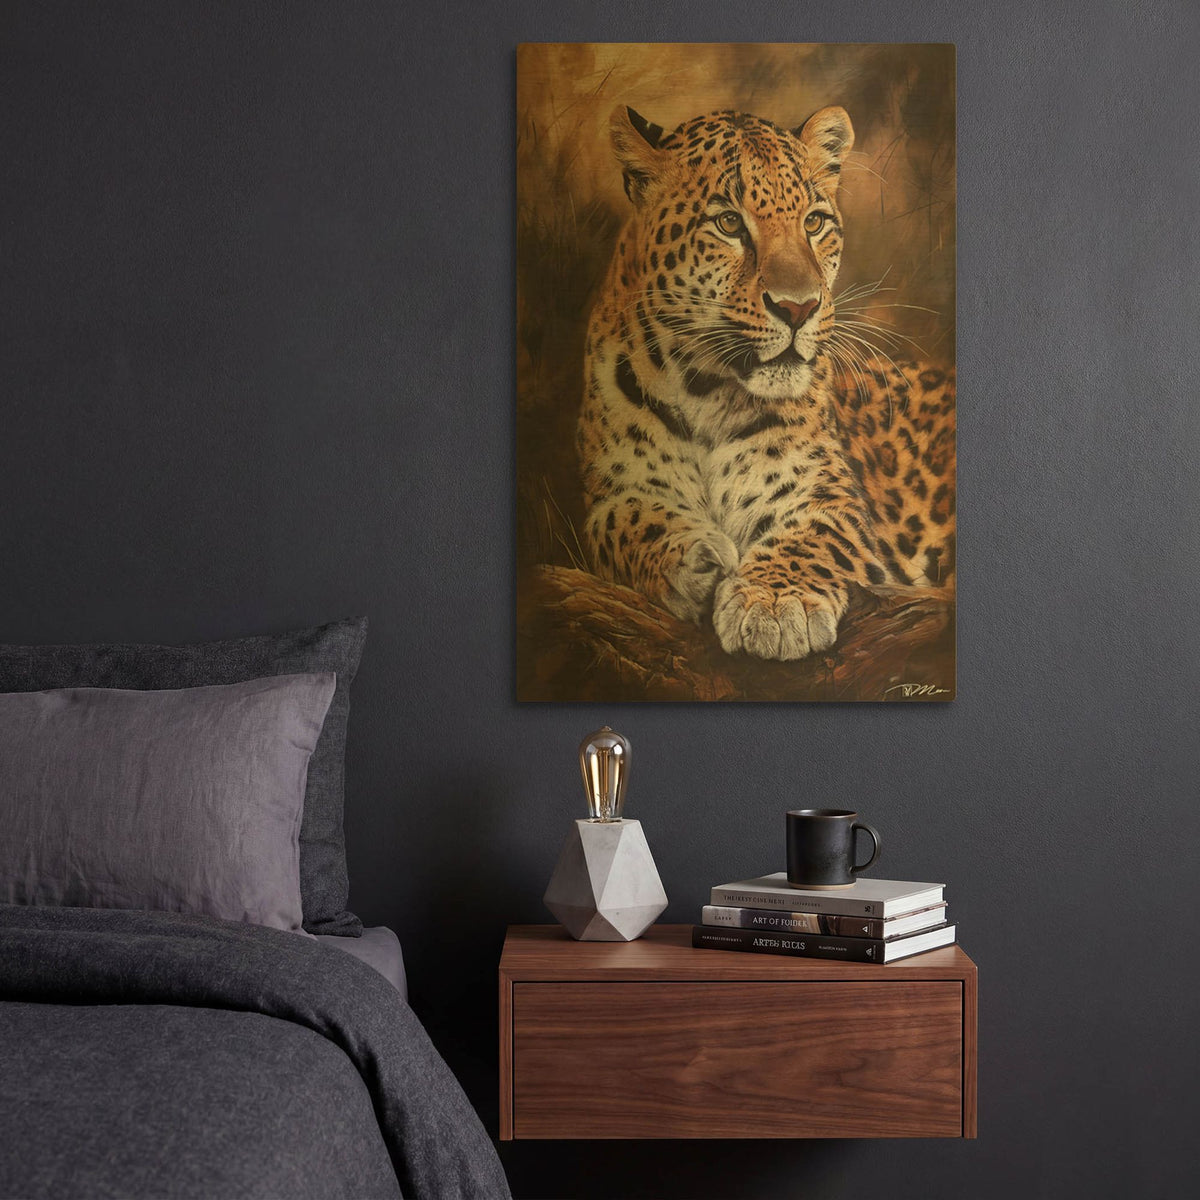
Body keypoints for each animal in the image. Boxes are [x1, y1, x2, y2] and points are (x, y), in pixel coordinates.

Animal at [576, 104, 955, 662]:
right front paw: (696, 560)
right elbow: (623, 521)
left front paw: (775, 604)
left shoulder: (833, 500)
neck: (703, 389)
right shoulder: (613, 490)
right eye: (729, 223)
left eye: (814, 222)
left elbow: (812, 538)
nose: (798, 308)